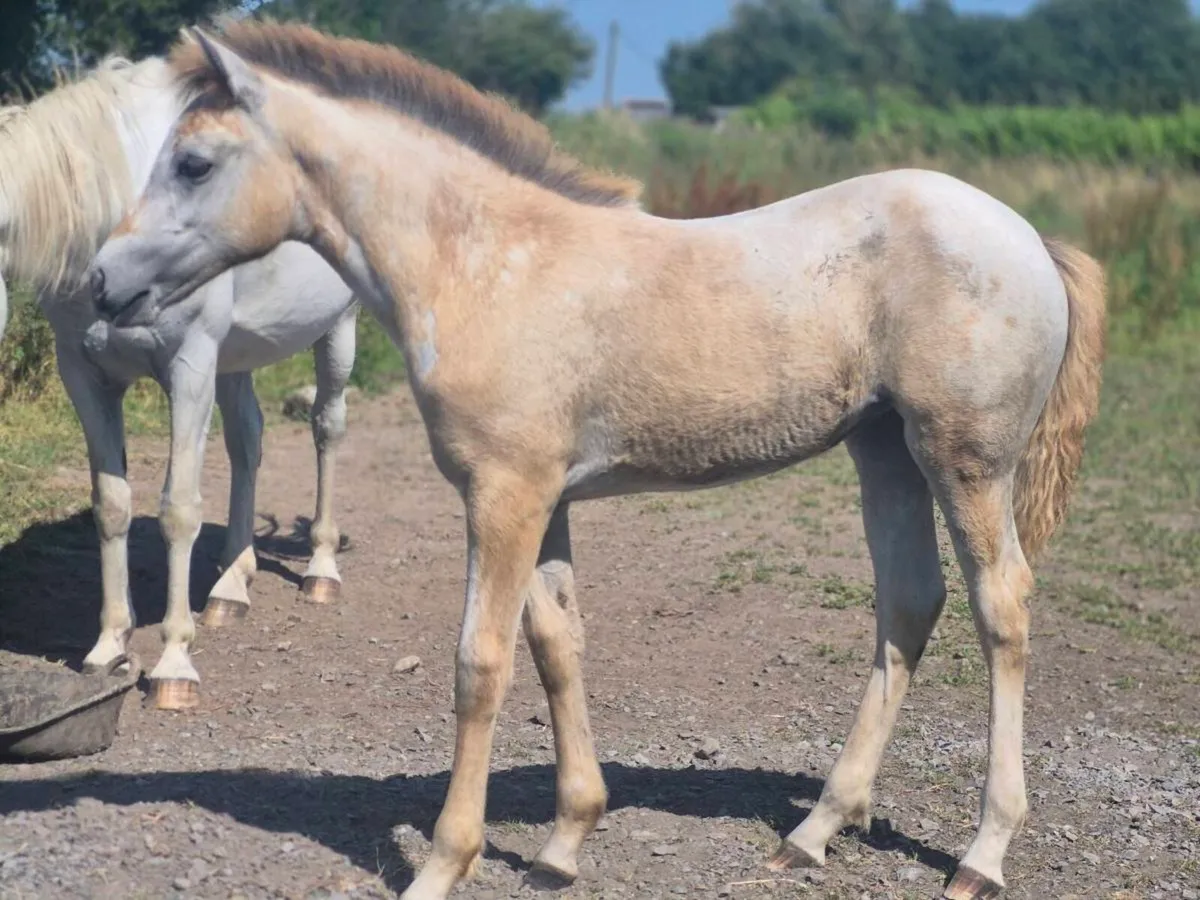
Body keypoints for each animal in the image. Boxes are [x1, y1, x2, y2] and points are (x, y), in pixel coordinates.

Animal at [0, 55, 365, 710]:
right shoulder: (84, 373)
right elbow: (112, 504)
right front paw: (108, 648)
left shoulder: (189, 364)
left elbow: (179, 508)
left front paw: (173, 665)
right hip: (236, 357)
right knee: (248, 440)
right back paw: (231, 586)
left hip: (337, 328)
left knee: (327, 427)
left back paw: (321, 571)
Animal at [88, 21, 1108, 900]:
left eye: (194, 162)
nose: (100, 281)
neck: (484, 264)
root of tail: (1030, 239)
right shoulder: (548, 499)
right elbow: (557, 646)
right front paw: (564, 843)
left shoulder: (502, 496)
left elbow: (481, 663)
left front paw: (444, 864)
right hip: (883, 450)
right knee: (909, 601)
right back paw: (816, 829)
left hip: (964, 459)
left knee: (1000, 606)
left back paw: (982, 853)